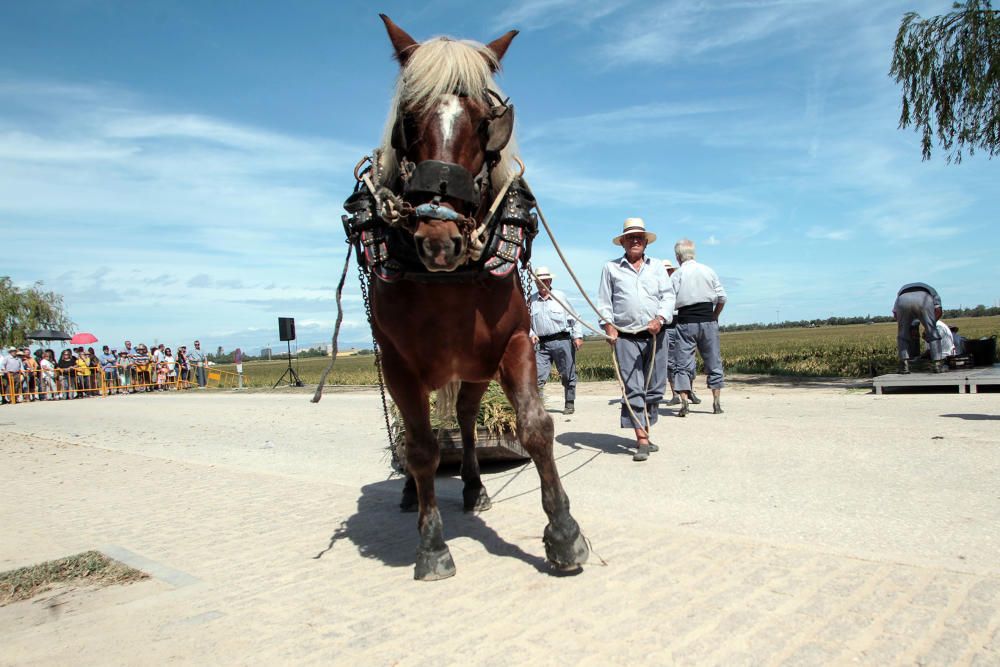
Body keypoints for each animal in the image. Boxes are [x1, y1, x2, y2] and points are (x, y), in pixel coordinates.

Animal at [362, 14, 584, 580]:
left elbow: (535, 427)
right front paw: (432, 544)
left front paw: (564, 533)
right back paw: (409, 495)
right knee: (417, 434)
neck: (448, 282)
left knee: (463, 417)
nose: (438, 238)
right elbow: (420, 447)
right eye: (408, 118)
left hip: (475, 368)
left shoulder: (514, 343)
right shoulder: (398, 364)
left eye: (486, 122)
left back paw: (474, 485)